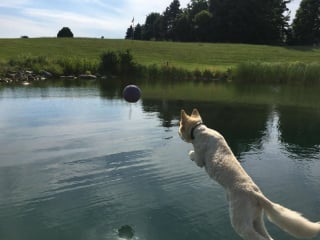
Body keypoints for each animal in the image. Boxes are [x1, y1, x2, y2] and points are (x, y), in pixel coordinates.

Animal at [179, 109, 320, 240]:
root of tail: (256, 195)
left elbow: (194, 156)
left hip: (240, 222)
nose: (178, 133)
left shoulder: (199, 158)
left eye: (180, 127)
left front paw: (190, 153)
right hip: (256, 220)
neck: (199, 130)